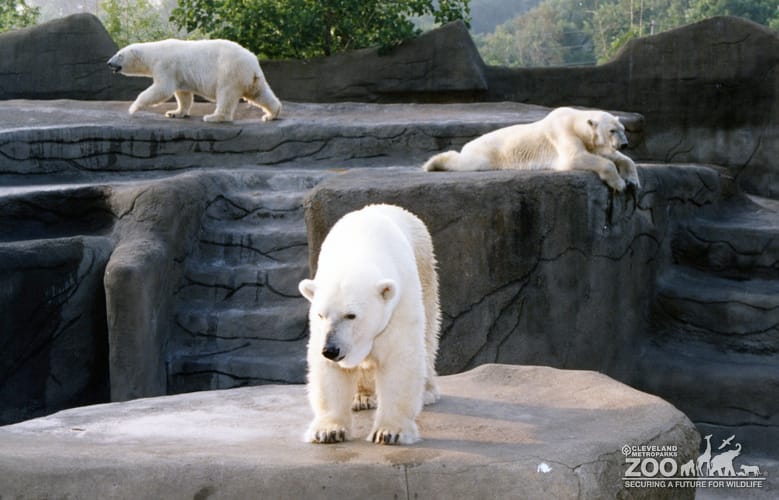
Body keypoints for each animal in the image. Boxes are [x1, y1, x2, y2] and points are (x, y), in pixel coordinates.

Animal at [107, 39, 281, 123]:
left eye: (119, 55)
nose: (109, 63)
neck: (153, 53)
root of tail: (253, 64)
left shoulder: (165, 65)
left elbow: (162, 89)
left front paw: (133, 108)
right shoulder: (180, 74)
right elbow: (183, 94)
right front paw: (174, 112)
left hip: (230, 71)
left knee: (225, 94)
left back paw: (214, 117)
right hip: (251, 79)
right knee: (260, 94)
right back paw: (271, 114)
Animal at [298, 204, 440, 445]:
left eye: (351, 315)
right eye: (321, 315)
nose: (331, 350)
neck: (360, 249)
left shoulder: (399, 303)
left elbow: (399, 357)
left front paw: (389, 432)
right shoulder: (321, 331)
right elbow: (328, 371)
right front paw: (328, 431)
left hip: (425, 268)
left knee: (429, 332)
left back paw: (427, 390)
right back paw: (362, 397)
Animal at [423, 106, 640, 191]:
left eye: (623, 129)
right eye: (612, 130)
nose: (625, 144)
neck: (575, 122)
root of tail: (469, 144)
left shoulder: (590, 142)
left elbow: (611, 155)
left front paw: (633, 180)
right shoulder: (562, 133)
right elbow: (574, 157)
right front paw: (619, 183)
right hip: (485, 154)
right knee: (465, 161)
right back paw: (432, 164)